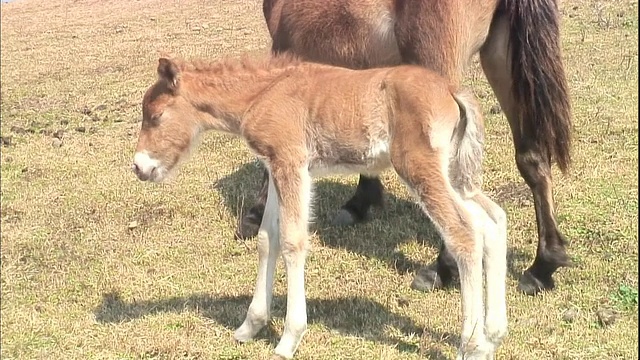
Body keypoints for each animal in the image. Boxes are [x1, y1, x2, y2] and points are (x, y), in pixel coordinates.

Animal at [132, 54, 508, 360]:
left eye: (156, 116)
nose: (139, 167)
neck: (262, 94)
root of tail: (451, 90)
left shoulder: (291, 163)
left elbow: (292, 241)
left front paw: (288, 339)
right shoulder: (276, 166)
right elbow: (267, 239)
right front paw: (250, 326)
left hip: (420, 167)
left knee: (463, 232)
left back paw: (472, 345)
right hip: (456, 174)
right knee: (492, 219)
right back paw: (494, 334)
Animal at [236, 0, 576, 296]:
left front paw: (255, 214)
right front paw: (361, 202)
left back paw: (441, 269)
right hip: (501, 56)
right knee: (532, 159)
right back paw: (542, 268)